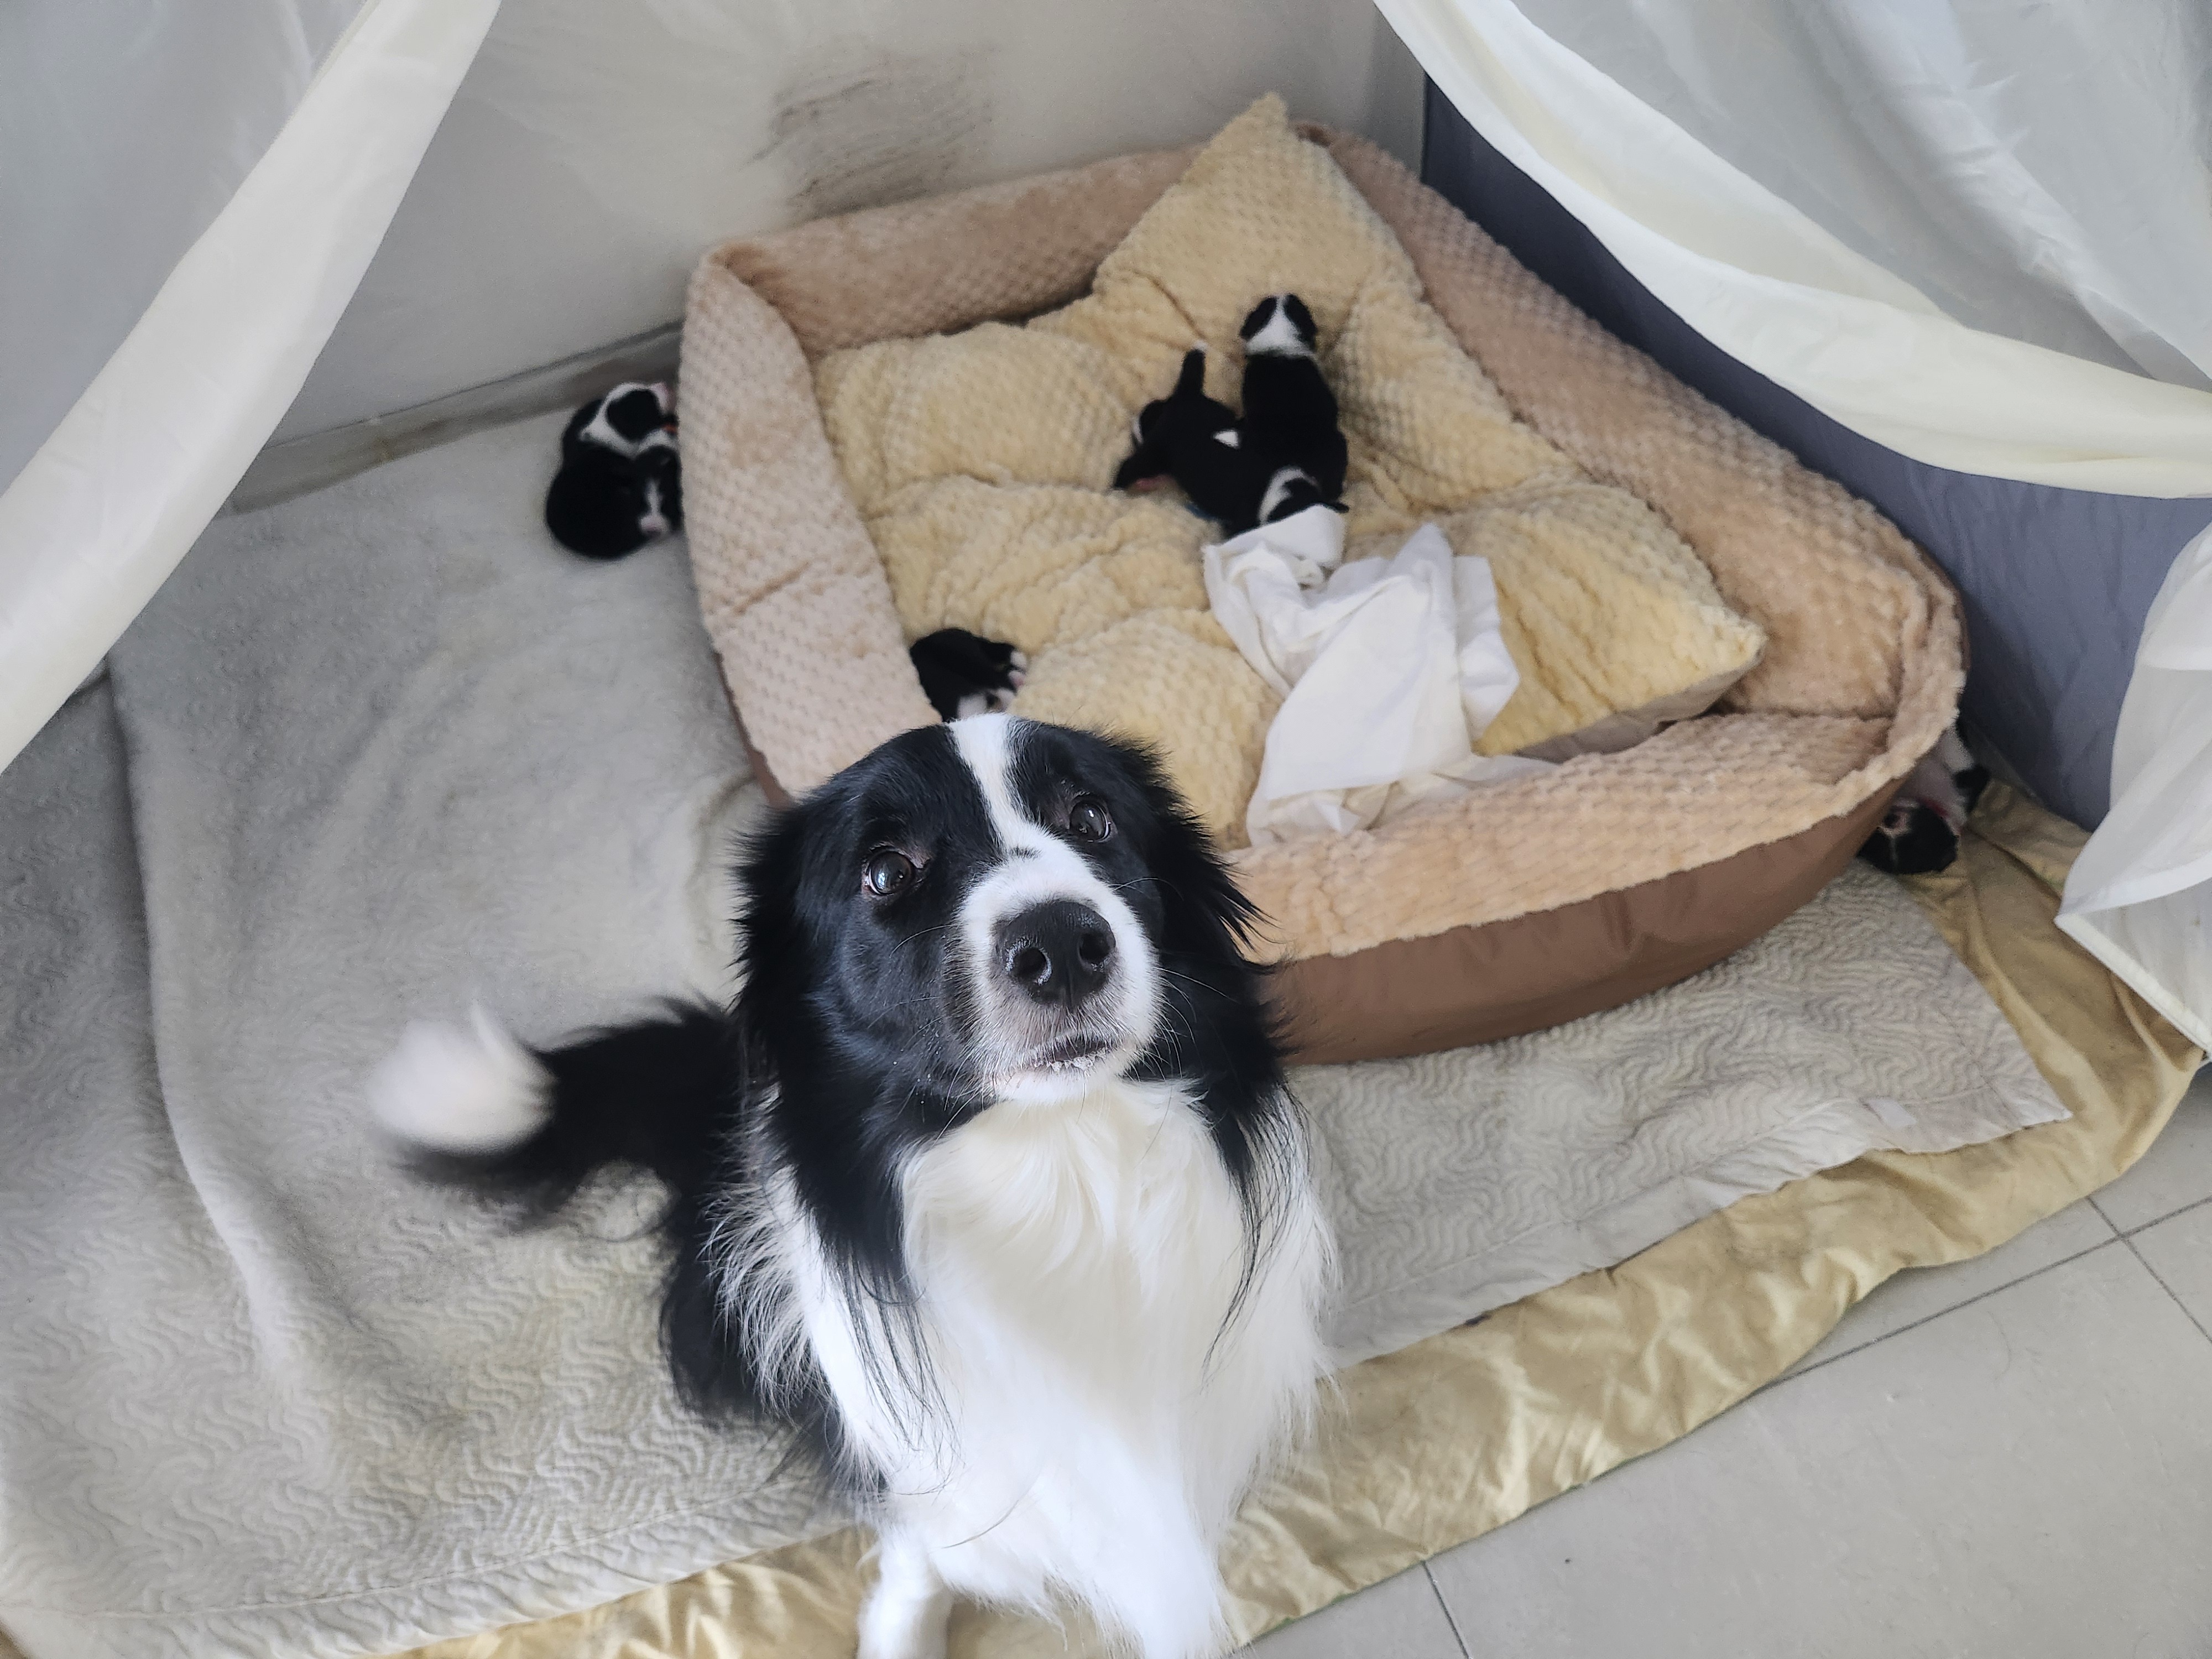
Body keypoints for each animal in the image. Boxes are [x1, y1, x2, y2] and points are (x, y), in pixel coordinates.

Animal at [370, 715, 1333, 1659]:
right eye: (886, 871)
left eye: (1091, 818)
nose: (1061, 945)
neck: (1061, 1167)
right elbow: (925, 1546)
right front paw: (905, 1627)